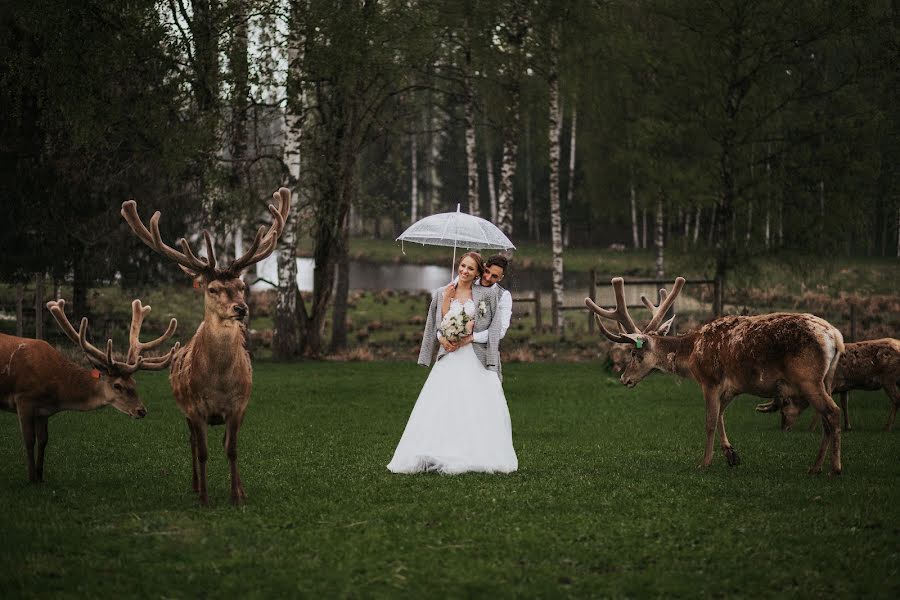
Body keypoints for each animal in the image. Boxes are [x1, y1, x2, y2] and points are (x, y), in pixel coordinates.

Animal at [0, 298, 179, 486]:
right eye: (117, 385)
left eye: (134, 382)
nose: (142, 411)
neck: (57, 392)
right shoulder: (23, 398)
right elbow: (29, 440)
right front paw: (31, 479)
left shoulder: (43, 411)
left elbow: (43, 441)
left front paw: (40, 477)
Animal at [121, 188, 292, 506]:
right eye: (212, 289)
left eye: (242, 286)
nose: (241, 308)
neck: (218, 382)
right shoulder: (195, 408)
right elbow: (202, 452)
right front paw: (204, 497)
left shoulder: (239, 406)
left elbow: (231, 448)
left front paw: (237, 496)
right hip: (185, 411)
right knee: (191, 443)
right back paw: (194, 485)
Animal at [588, 278, 848, 476]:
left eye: (634, 353)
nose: (624, 378)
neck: (692, 355)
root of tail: (835, 335)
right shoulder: (732, 386)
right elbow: (722, 416)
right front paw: (732, 455)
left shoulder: (709, 379)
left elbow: (710, 420)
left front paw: (705, 462)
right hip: (827, 378)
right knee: (825, 417)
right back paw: (816, 466)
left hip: (807, 378)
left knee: (832, 412)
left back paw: (834, 468)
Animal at [756, 338, 896, 432]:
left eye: (784, 406)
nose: (784, 428)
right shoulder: (844, 387)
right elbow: (844, 404)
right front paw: (847, 427)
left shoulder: (831, 384)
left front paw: (811, 428)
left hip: (889, 378)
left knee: (896, 400)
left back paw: (887, 427)